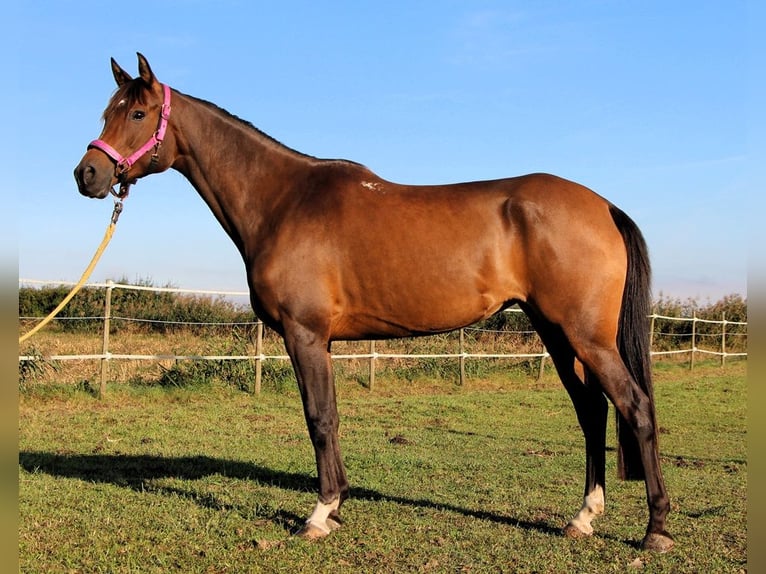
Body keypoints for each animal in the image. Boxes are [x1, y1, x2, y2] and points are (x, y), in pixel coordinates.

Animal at [72, 54, 672, 552]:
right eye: (107, 111)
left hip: (585, 336)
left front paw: (319, 515)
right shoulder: (323, 342)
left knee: (635, 407)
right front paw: (336, 507)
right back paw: (583, 518)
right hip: (556, 333)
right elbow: (332, 416)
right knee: (593, 411)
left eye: (139, 112)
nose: (87, 174)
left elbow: (318, 418)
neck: (282, 201)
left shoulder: (304, 334)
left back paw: (656, 529)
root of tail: (603, 205)